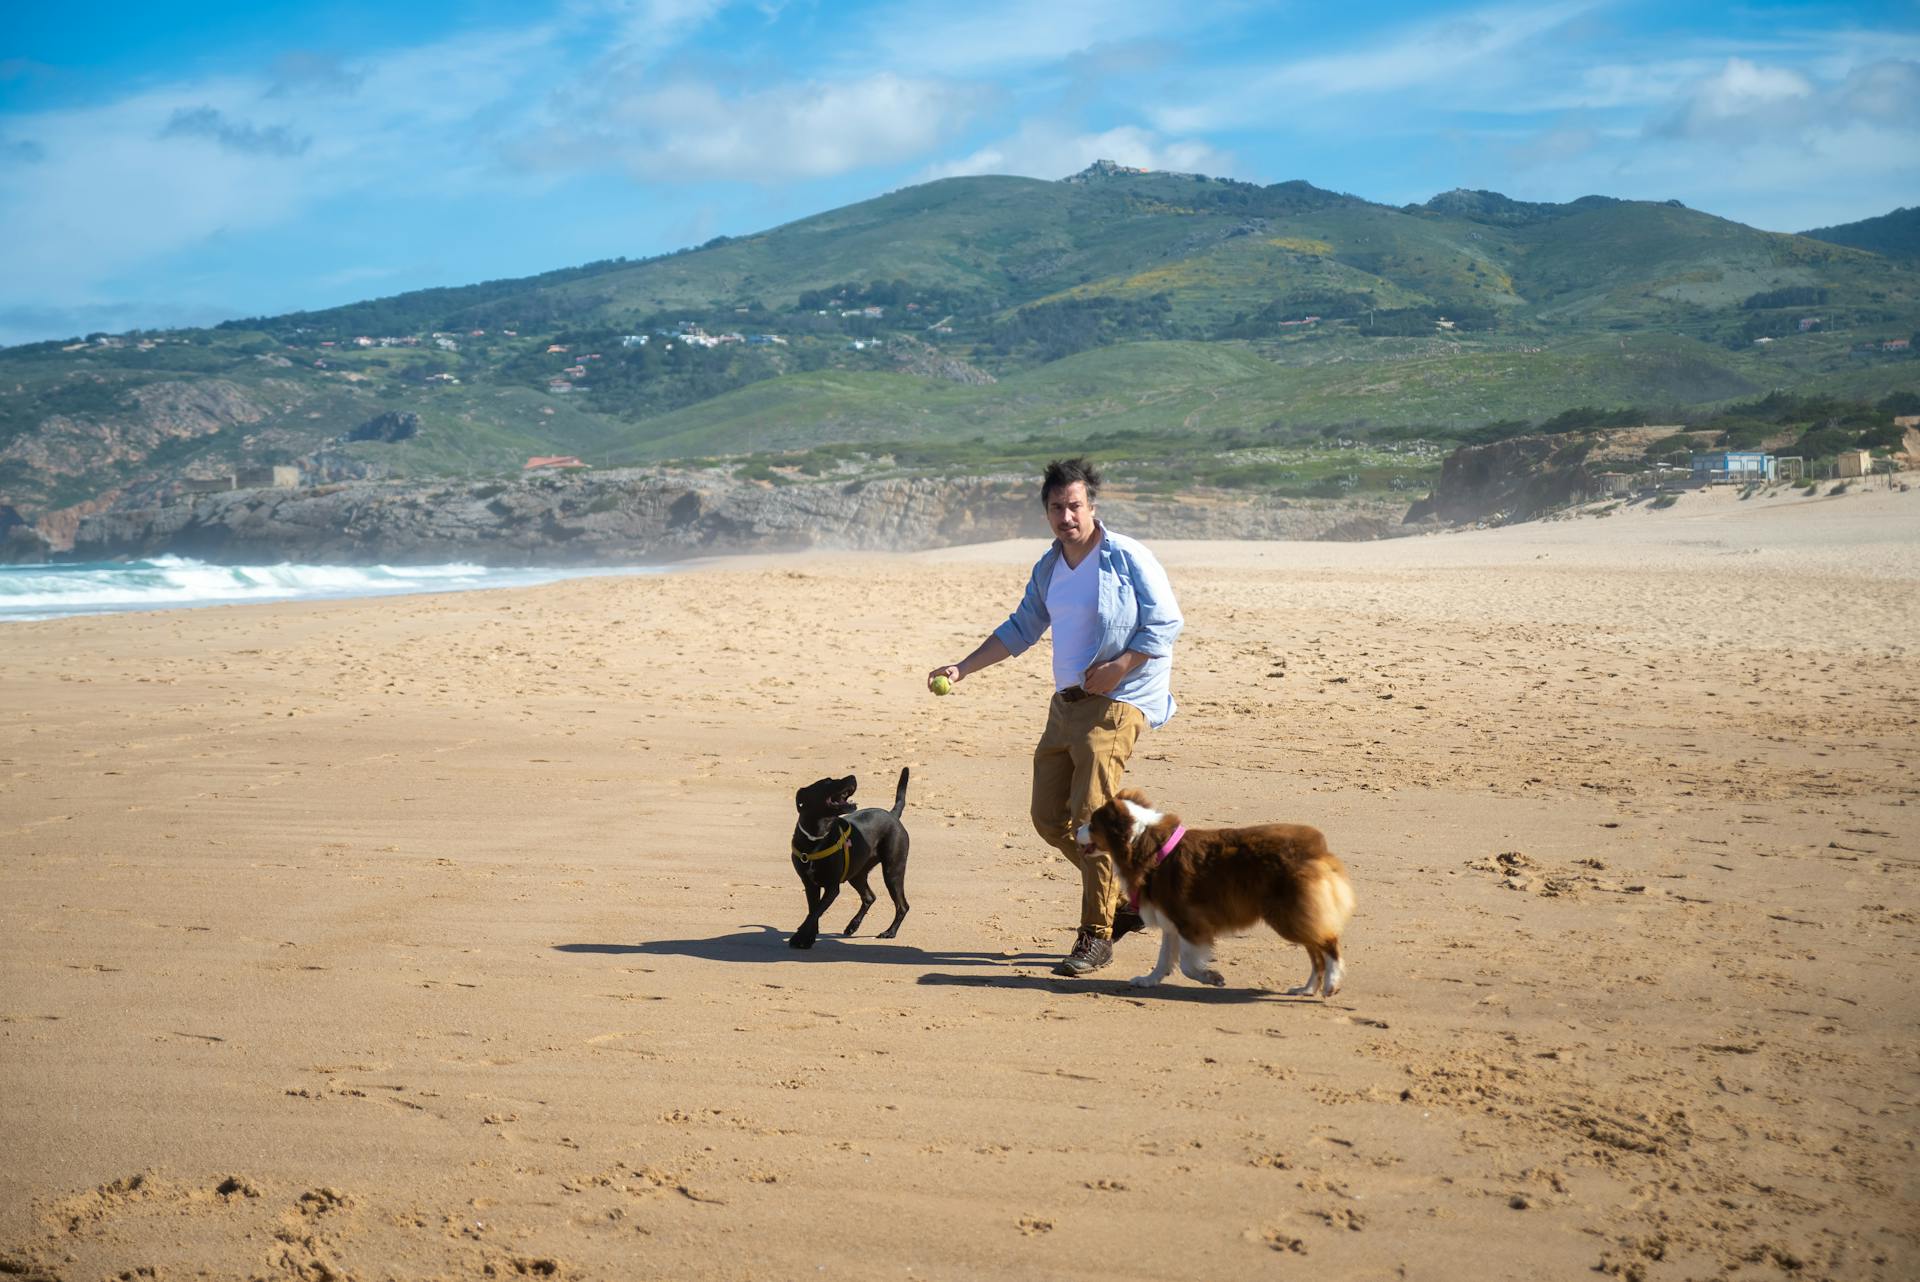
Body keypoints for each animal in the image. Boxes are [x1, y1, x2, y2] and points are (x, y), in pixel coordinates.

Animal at [794, 767, 913, 948]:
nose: (853, 776)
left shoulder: (832, 887)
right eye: (827, 781)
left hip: (893, 871)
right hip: (857, 873)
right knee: (869, 897)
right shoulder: (809, 885)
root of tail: (892, 815)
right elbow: (813, 912)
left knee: (902, 906)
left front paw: (799, 937)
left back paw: (889, 932)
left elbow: (814, 913)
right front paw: (808, 938)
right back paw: (853, 925)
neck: (816, 837)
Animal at [1075, 786, 1359, 997]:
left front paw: (1212, 977)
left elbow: (1187, 964)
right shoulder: (1170, 919)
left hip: (1287, 915)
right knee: (1316, 951)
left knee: (1328, 943)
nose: (1075, 829)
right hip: (1293, 915)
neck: (1144, 843)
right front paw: (1148, 980)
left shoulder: (1190, 920)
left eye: (1092, 824)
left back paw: (1331, 983)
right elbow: (1164, 958)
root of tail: (1318, 850)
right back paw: (1307, 989)